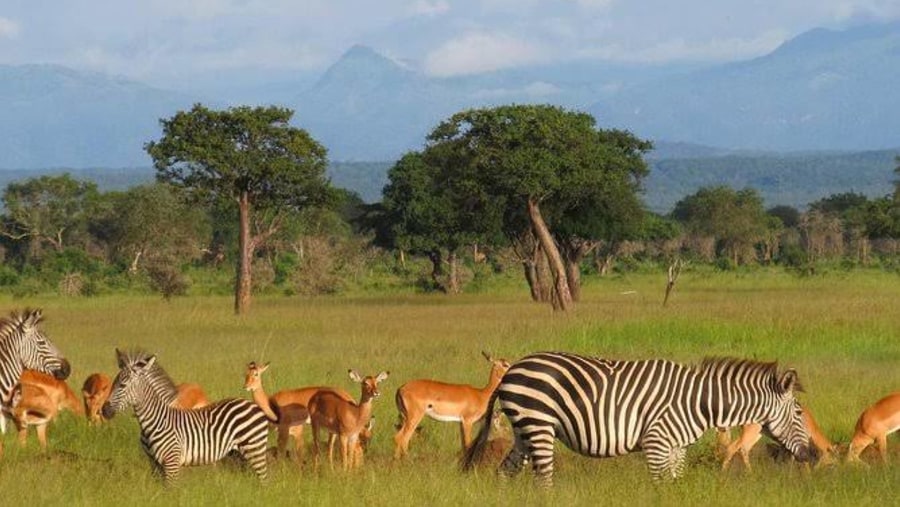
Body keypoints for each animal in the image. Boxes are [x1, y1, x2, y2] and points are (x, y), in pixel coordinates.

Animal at [102, 350, 268, 484]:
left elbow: (171, 492)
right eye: (113, 383)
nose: (104, 411)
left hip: (255, 448)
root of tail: (251, 404)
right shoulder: (154, 464)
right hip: (239, 452)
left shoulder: (172, 463)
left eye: (122, 385)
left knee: (264, 480)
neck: (155, 421)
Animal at [464, 354, 808, 488]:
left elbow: (673, 485)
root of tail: (512, 369)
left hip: (524, 430)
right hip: (538, 425)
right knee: (543, 479)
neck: (699, 402)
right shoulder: (656, 443)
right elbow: (659, 486)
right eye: (800, 414)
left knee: (504, 473)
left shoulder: (676, 448)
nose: (808, 455)